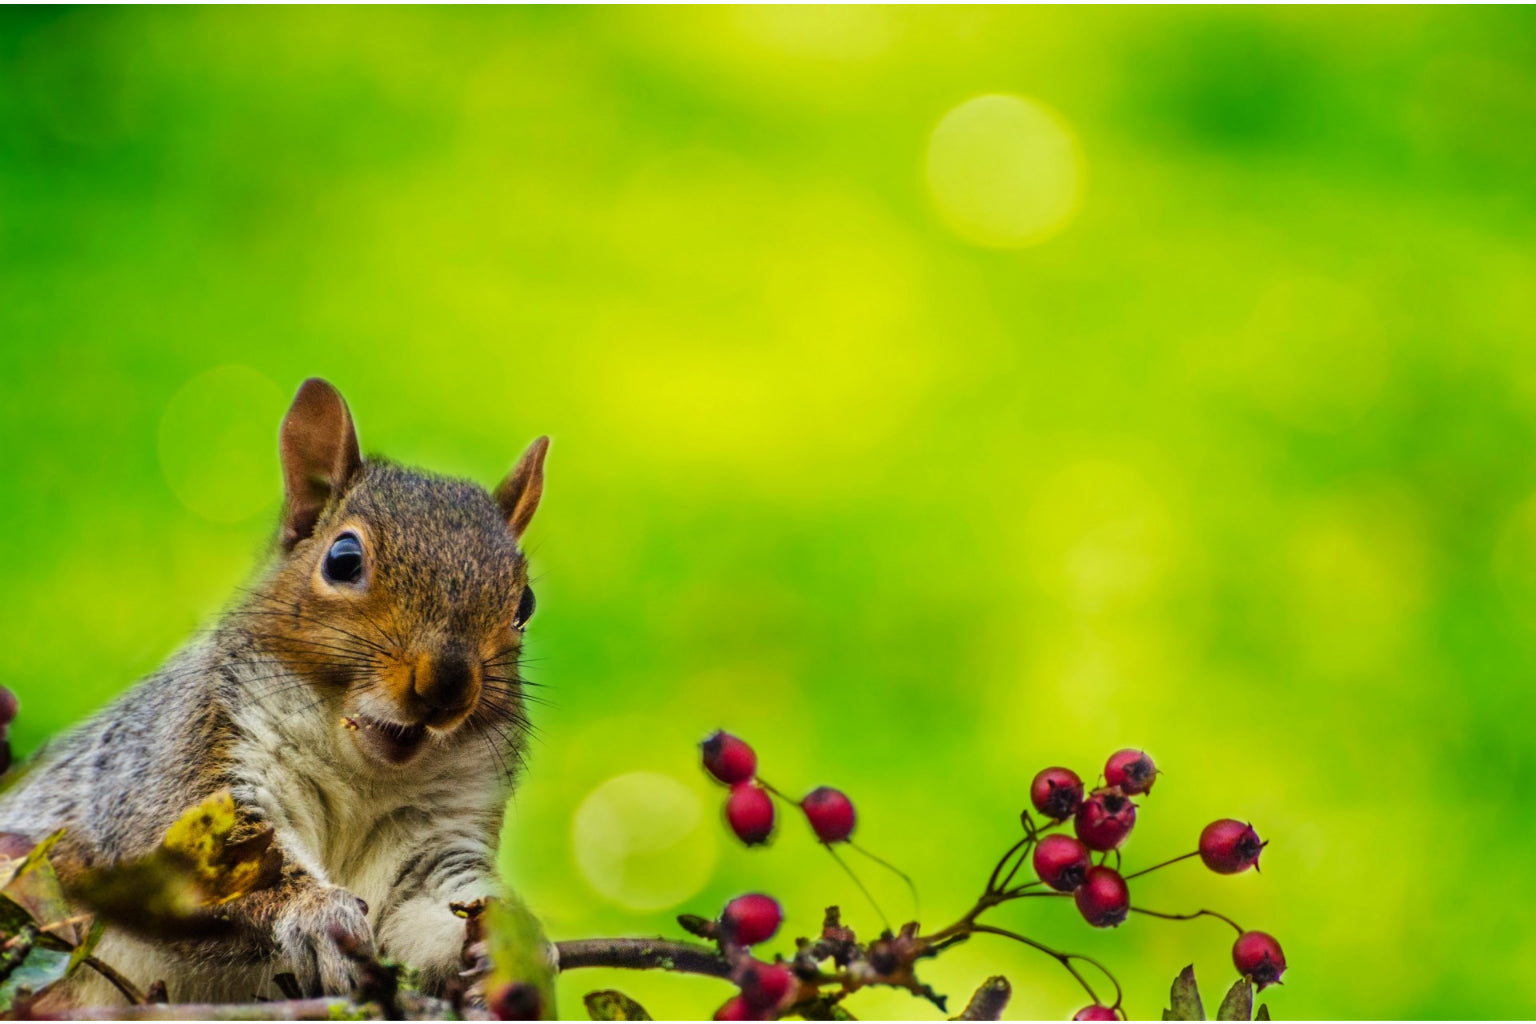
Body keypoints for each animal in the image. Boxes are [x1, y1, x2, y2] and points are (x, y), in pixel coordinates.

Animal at [0, 380, 549, 1007]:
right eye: (343, 559)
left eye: (526, 603)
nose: (448, 684)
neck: (364, 780)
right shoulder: (182, 767)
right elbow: (202, 871)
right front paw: (315, 914)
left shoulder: (434, 841)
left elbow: (429, 910)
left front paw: (511, 941)